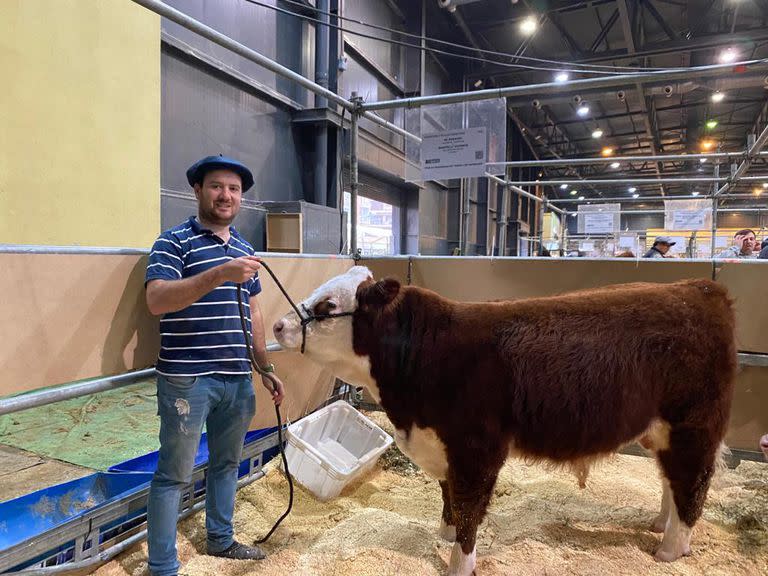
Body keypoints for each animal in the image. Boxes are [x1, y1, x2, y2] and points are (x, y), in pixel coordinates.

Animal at [272, 266, 736, 576]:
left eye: (328, 306)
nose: (277, 324)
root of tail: (699, 287)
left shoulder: (477, 449)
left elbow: (470, 509)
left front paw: (459, 563)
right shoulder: (443, 446)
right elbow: (449, 497)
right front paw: (443, 533)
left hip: (694, 426)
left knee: (692, 484)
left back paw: (671, 548)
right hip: (663, 432)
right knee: (671, 480)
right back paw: (660, 524)